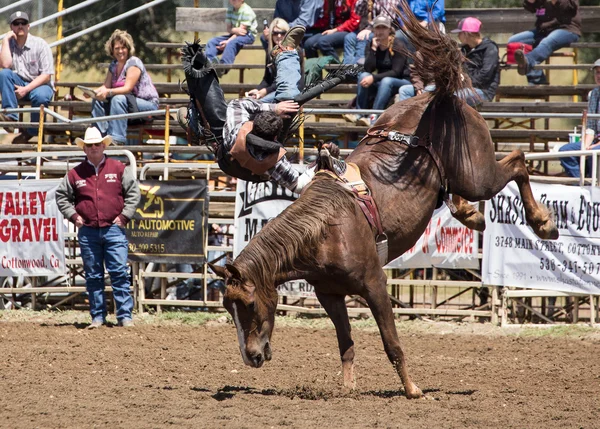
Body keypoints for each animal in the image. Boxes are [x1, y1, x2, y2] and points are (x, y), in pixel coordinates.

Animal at [210, 5, 556, 398]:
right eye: (228, 307)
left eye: (248, 303)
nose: (251, 357)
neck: (325, 233)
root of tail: (438, 98)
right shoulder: (330, 295)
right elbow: (346, 342)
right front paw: (347, 387)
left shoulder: (375, 283)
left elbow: (391, 341)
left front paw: (412, 389)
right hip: (459, 175)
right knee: (460, 188)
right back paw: (470, 214)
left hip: (478, 172)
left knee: (517, 161)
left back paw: (543, 222)